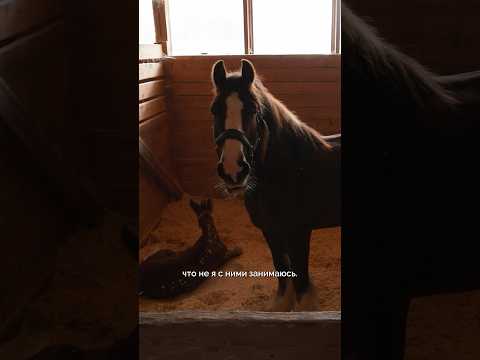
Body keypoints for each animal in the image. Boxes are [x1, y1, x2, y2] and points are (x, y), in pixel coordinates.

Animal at [210, 59, 342, 312]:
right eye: (215, 110)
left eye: (253, 109)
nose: (233, 170)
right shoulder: (270, 230)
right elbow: (282, 269)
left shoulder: (299, 231)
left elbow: (300, 279)